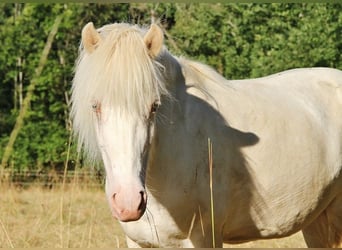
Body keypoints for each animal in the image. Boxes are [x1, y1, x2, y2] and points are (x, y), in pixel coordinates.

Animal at [70, 22, 342, 248]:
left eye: (154, 106)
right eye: (95, 106)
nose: (128, 203)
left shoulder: (204, 238)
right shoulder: (139, 243)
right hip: (318, 221)